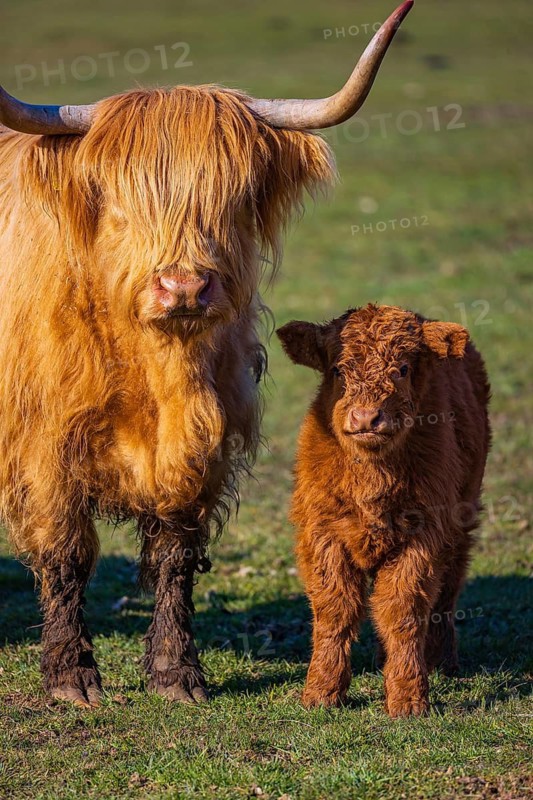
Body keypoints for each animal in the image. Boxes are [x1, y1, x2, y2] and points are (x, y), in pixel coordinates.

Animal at [0, 2, 413, 707]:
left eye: (232, 199)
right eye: (120, 204)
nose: (185, 286)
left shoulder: (206, 441)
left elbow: (175, 552)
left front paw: (175, 674)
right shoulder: (44, 446)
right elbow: (66, 553)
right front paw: (71, 677)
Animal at [277, 304, 490, 716]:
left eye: (403, 368)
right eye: (338, 369)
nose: (365, 417)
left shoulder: (423, 538)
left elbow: (403, 610)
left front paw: (408, 697)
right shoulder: (321, 534)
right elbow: (336, 610)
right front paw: (322, 691)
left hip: (462, 522)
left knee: (447, 591)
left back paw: (442, 661)